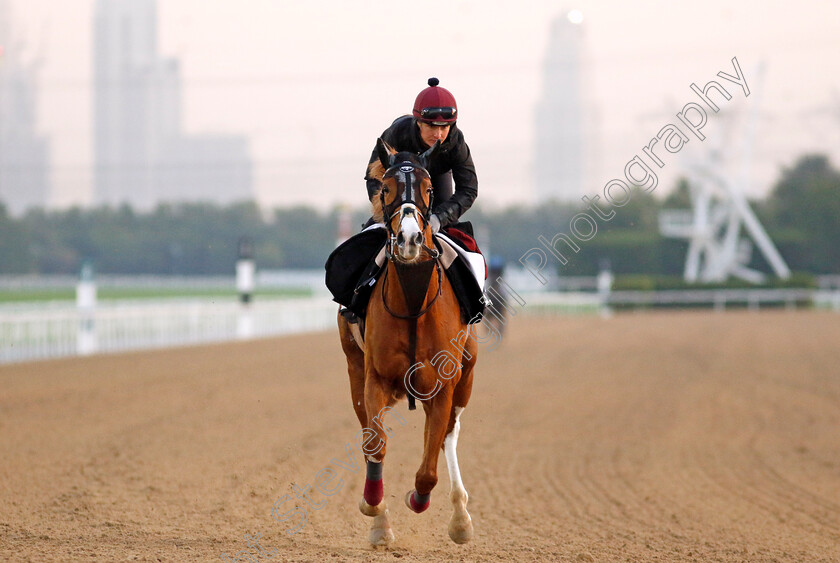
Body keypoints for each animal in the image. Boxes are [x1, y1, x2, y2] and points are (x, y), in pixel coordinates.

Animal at [336, 138, 480, 548]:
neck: (414, 301)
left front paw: (419, 499)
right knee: (370, 432)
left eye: (429, 188)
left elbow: (429, 469)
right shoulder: (375, 378)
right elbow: (375, 444)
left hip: (466, 376)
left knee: (449, 435)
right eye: (386, 188)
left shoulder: (444, 385)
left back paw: (460, 517)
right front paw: (375, 510)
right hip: (354, 368)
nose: (410, 239)